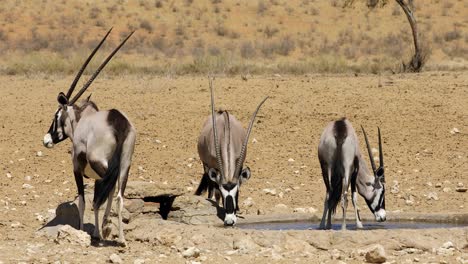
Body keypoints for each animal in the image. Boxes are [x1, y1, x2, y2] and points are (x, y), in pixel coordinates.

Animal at [41, 27, 137, 244]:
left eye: (56, 115)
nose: (46, 140)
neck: (82, 119)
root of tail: (117, 120)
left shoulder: (77, 168)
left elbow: (84, 200)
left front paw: (84, 230)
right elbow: (104, 196)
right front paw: (105, 228)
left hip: (102, 166)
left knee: (100, 197)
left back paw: (101, 233)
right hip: (125, 165)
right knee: (117, 195)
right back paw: (121, 239)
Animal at [195, 79, 266, 226]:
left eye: (236, 193)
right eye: (223, 194)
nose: (229, 221)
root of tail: (222, 113)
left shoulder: (240, 163)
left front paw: (237, 209)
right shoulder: (214, 169)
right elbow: (215, 189)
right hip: (205, 165)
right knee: (210, 185)